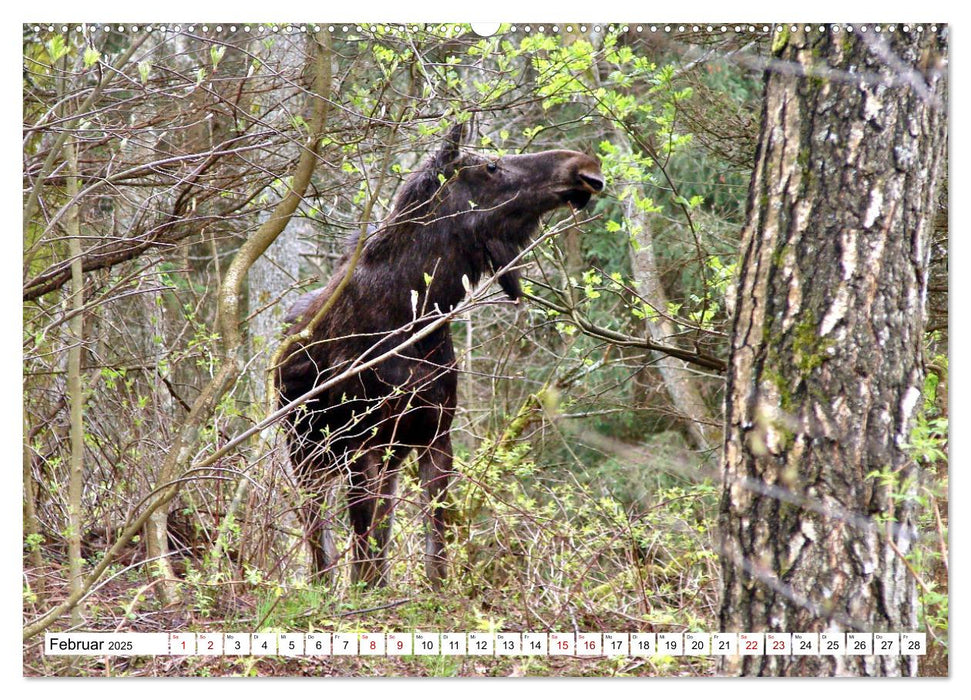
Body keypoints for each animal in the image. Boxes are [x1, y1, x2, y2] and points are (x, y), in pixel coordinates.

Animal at [274, 124, 604, 584]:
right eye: (491, 166)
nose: (585, 168)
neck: (416, 314)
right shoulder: (364, 444)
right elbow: (364, 556)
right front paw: (368, 595)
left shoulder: (434, 437)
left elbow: (435, 547)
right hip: (308, 451)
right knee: (320, 540)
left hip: (383, 457)